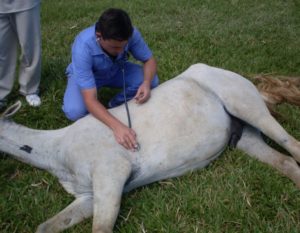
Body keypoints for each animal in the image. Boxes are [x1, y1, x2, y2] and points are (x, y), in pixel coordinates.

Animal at [0, 63, 300, 233]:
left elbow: (101, 228)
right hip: (245, 137)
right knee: (286, 163)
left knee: (292, 146)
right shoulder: (88, 197)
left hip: (248, 107)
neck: (59, 150)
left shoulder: (111, 177)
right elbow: (45, 227)